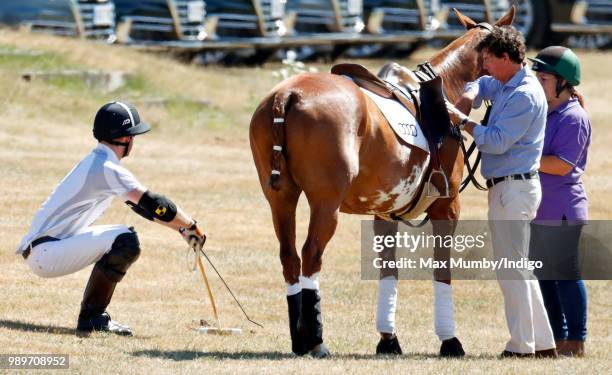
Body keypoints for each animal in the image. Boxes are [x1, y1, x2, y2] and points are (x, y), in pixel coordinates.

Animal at [251, 8, 512, 358]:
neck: (447, 93)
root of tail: (286, 95)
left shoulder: (384, 213)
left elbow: (389, 271)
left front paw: (388, 340)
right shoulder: (447, 207)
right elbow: (442, 271)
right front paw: (449, 340)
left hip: (280, 199)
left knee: (289, 257)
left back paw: (299, 340)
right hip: (326, 203)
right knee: (310, 255)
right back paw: (317, 340)